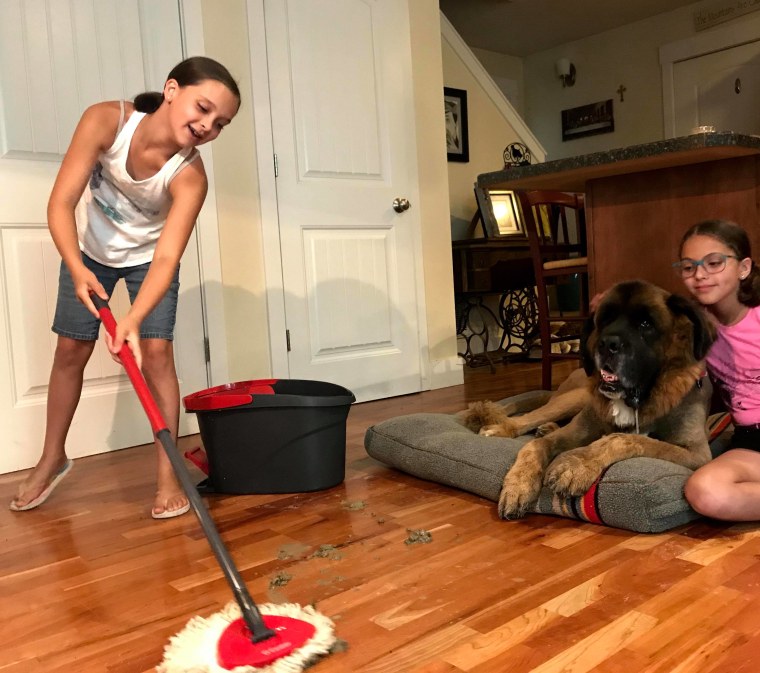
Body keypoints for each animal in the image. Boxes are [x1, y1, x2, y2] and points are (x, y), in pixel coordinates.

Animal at [460, 280, 716, 520]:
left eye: (645, 324)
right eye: (605, 320)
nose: (607, 344)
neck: (636, 398)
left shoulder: (697, 455)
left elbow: (625, 439)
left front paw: (576, 464)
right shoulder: (577, 430)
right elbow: (533, 446)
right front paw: (518, 485)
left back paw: (546, 427)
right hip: (573, 398)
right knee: (528, 418)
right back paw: (504, 428)